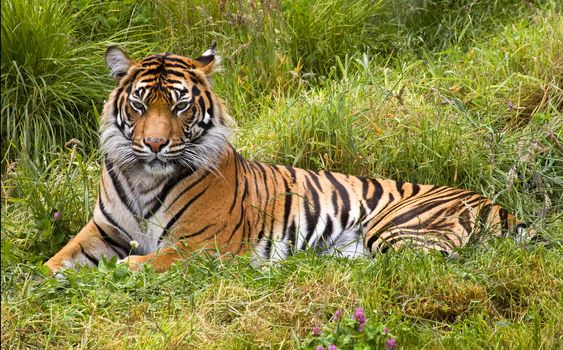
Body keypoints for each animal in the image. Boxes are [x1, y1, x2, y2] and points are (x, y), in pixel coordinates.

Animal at [46, 43, 532, 274]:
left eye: (180, 106)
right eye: (140, 104)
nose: (154, 144)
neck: (146, 176)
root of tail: (496, 204)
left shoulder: (203, 245)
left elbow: (145, 262)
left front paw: (117, 271)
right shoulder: (102, 230)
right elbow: (58, 259)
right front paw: (38, 277)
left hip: (394, 226)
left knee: (421, 263)